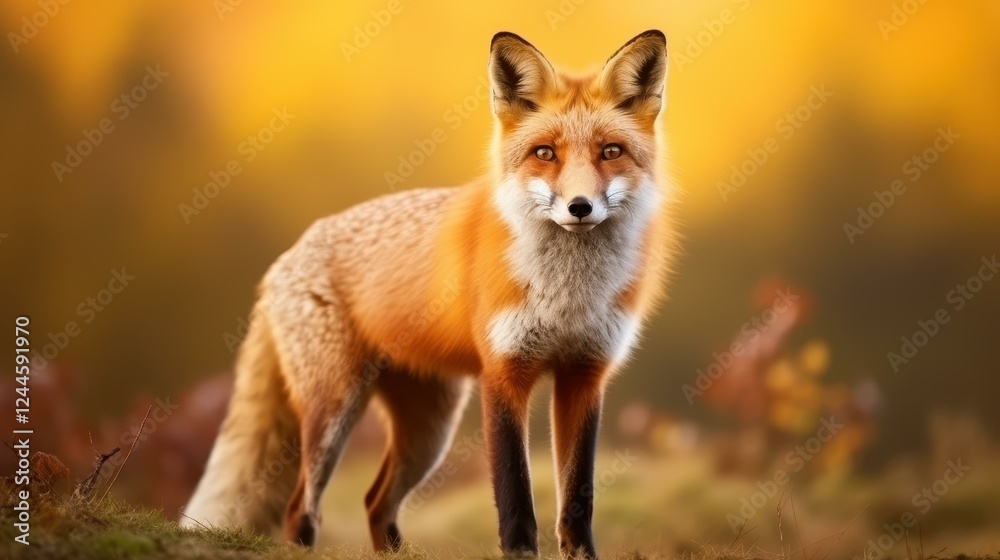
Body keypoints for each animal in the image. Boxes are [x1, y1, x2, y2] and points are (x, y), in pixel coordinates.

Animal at [181, 29, 677, 559]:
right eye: (545, 153)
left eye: (611, 151)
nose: (579, 207)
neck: (567, 295)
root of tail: (288, 254)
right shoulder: (504, 374)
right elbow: (514, 494)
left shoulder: (584, 376)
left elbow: (578, 499)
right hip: (336, 410)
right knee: (302, 506)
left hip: (428, 433)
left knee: (374, 501)